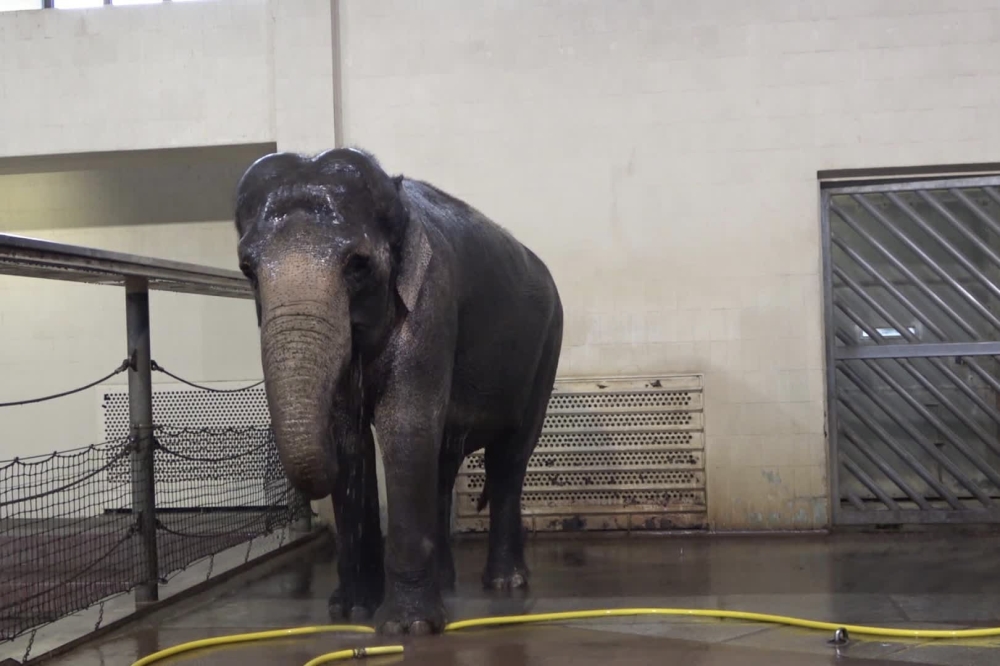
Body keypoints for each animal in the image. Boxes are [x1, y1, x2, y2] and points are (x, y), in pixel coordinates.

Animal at [233, 147, 564, 635]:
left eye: (358, 264)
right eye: (248, 271)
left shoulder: (430, 298)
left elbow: (405, 424)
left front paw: (408, 628)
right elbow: (350, 438)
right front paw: (351, 611)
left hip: (548, 344)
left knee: (510, 457)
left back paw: (505, 584)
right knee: (444, 462)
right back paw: (446, 583)